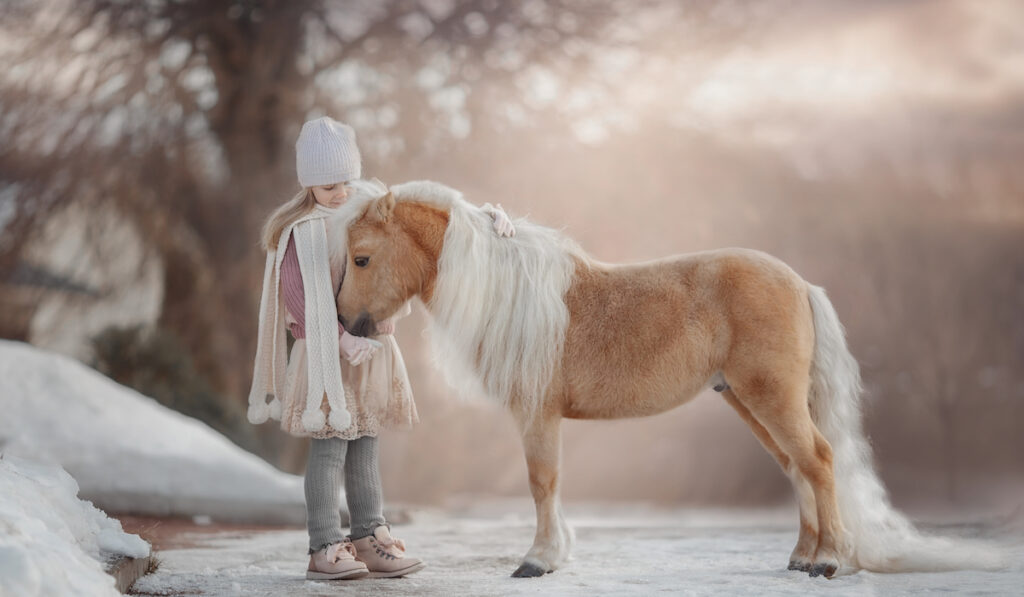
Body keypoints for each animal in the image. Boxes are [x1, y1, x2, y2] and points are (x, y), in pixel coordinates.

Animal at [335, 181, 999, 577]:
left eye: (362, 257)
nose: (345, 322)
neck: (513, 293)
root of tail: (798, 281)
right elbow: (550, 485)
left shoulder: (537, 413)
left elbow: (542, 483)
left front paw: (539, 560)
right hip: (750, 403)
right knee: (798, 467)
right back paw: (801, 557)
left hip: (771, 398)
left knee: (818, 459)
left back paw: (829, 560)